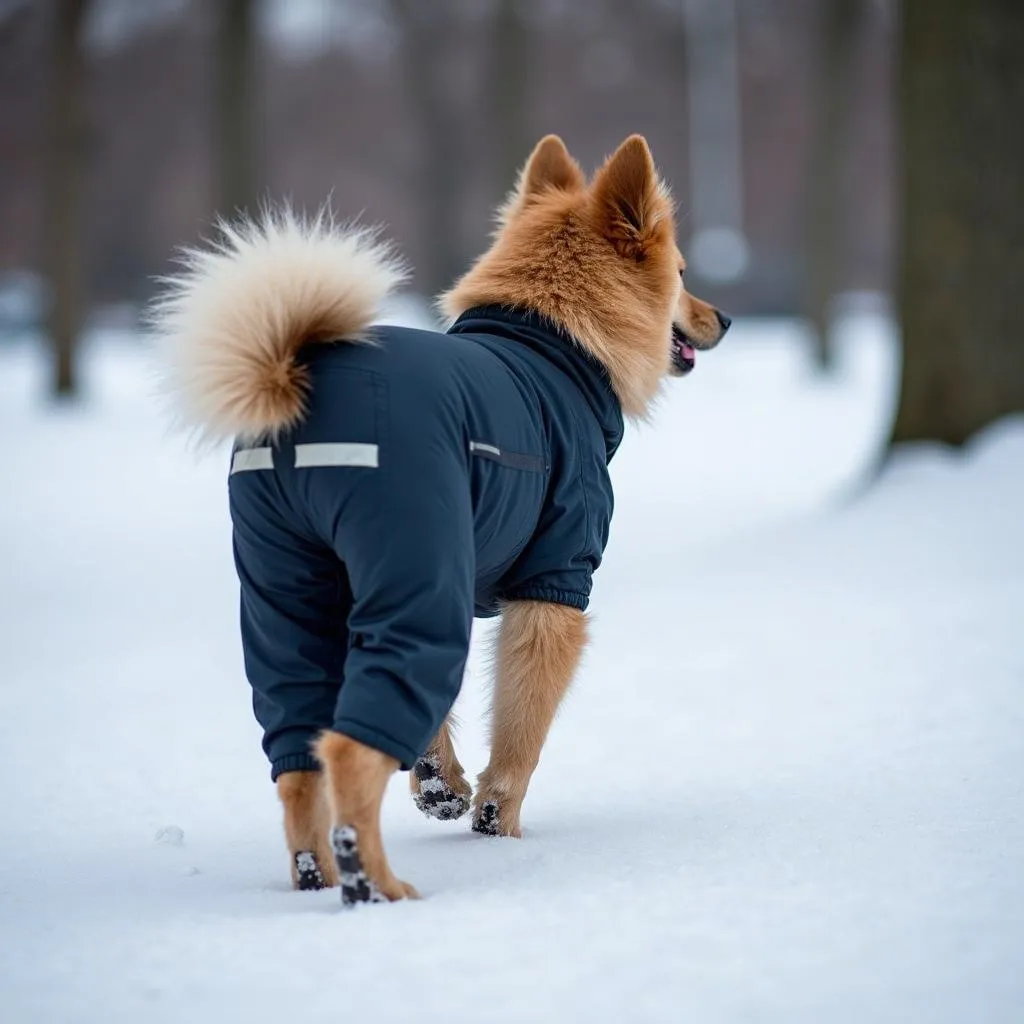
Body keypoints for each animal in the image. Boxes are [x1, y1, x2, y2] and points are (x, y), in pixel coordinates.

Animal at [153, 134, 729, 905]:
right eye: (682, 275)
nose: (722, 318)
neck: (556, 339)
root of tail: (299, 390)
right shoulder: (553, 588)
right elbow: (521, 730)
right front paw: (495, 822)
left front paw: (441, 783)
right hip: (416, 568)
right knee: (348, 751)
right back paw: (376, 886)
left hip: (292, 593)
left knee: (300, 760)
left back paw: (315, 874)